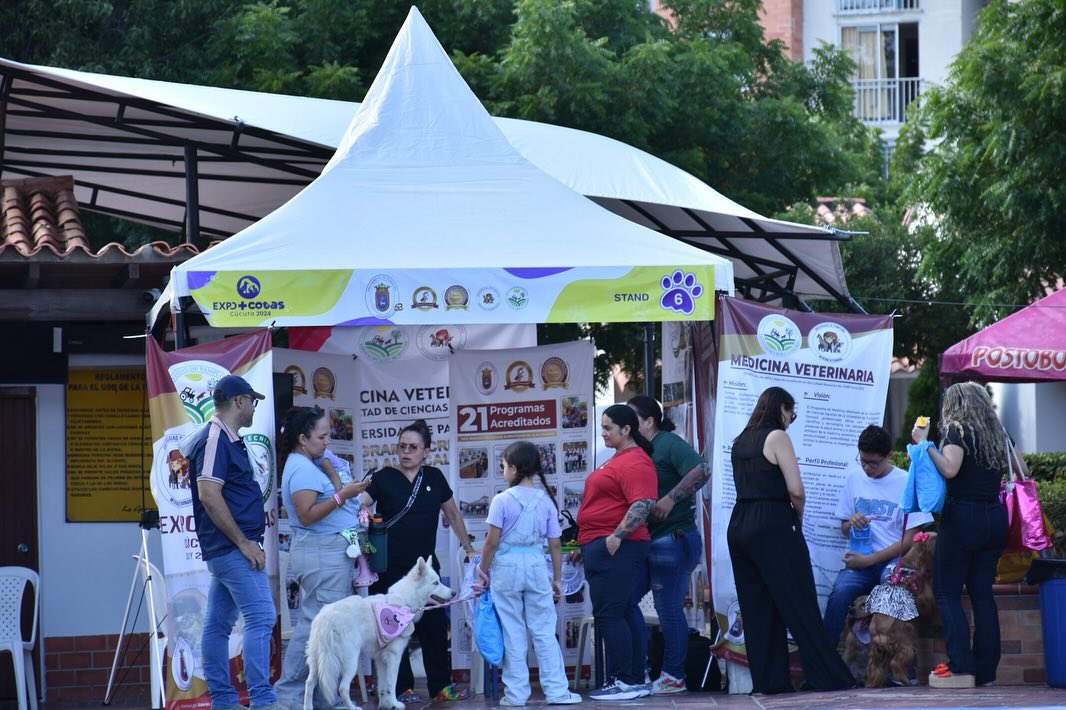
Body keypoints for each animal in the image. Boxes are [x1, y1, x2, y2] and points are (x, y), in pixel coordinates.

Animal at [302, 554, 451, 707]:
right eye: (435, 583)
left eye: (439, 581)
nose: (454, 592)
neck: (404, 601)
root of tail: (325, 619)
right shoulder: (394, 656)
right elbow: (392, 684)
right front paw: (395, 704)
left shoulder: (380, 659)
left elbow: (383, 687)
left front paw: (385, 705)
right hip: (350, 661)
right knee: (342, 688)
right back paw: (354, 708)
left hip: (317, 661)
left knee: (309, 684)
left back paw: (308, 707)